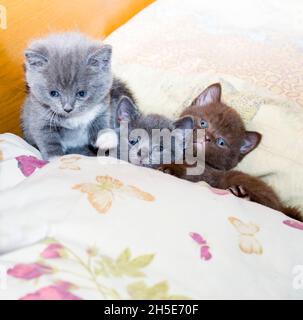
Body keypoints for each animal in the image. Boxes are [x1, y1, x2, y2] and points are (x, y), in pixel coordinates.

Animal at [22, 32, 134, 160]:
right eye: (53, 93)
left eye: (81, 93)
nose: (67, 108)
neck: (75, 117)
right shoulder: (38, 117)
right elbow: (47, 140)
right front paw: (57, 159)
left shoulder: (104, 105)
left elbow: (101, 120)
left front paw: (107, 138)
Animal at [160, 84, 302, 221]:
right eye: (203, 123)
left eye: (221, 142)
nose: (207, 137)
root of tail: (283, 208)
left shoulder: (208, 174)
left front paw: (171, 168)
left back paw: (240, 194)